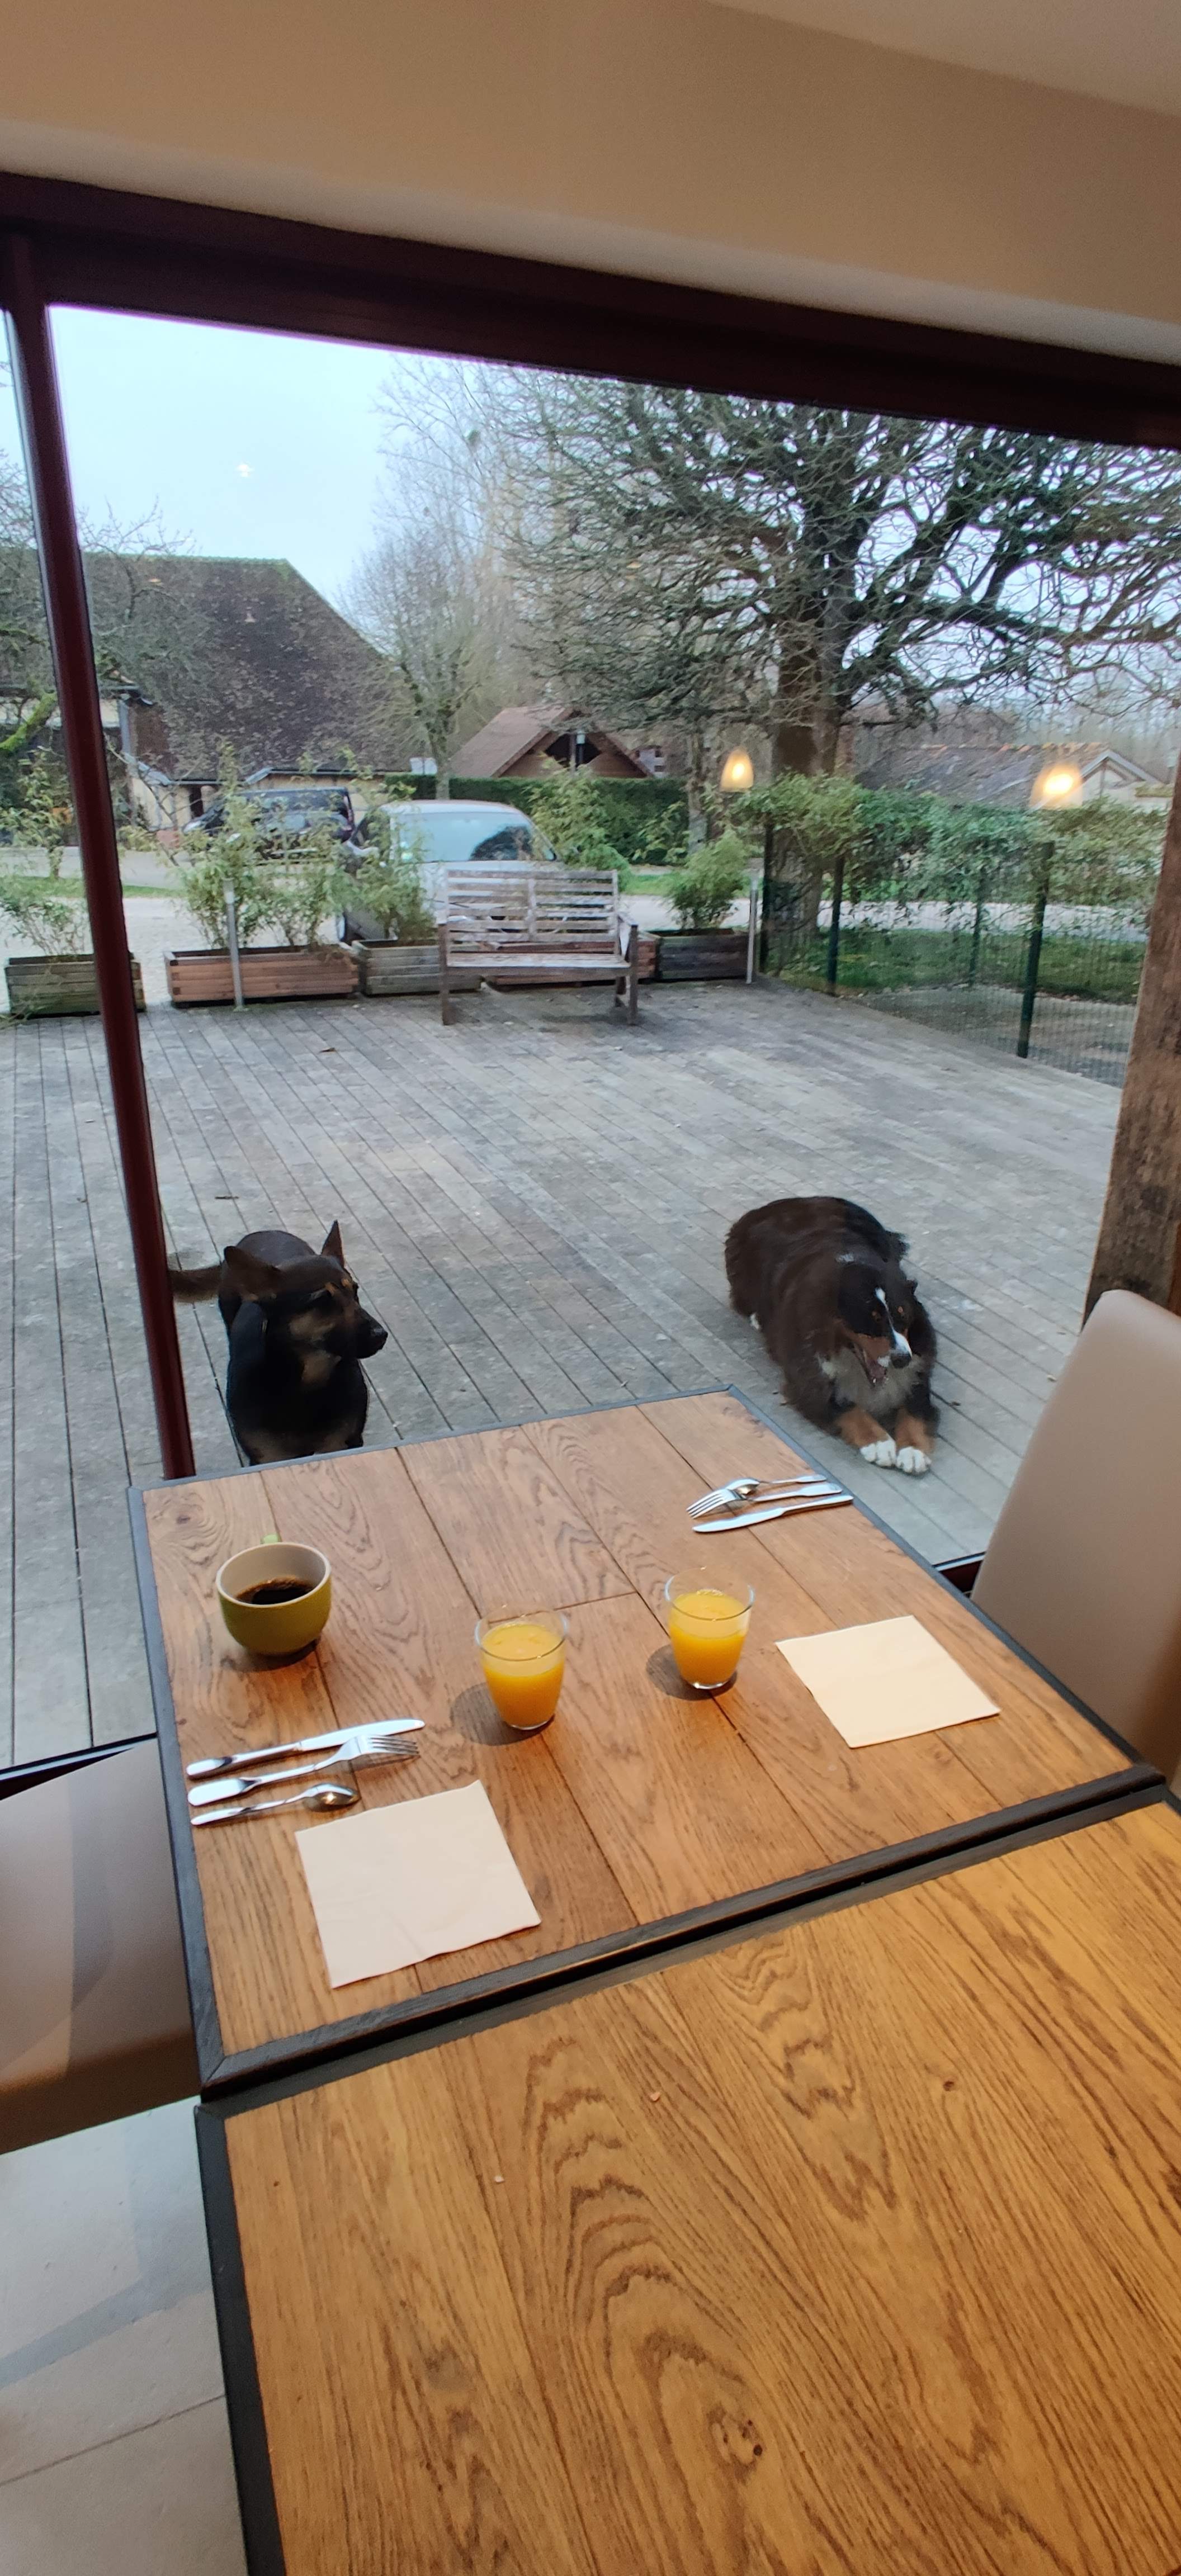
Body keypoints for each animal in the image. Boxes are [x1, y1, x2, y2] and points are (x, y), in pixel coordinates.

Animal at [169, 1222, 388, 1464]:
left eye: (355, 1292)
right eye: (322, 1300)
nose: (381, 1335)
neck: (306, 1386)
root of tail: (264, 1232)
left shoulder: (340, 1444)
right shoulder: (270, 1456)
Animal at [725, 1196, 938, 1474]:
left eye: (902, 1315)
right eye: (872, 1319)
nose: (902, 1359)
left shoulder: (917, 1377)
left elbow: (914, 1412)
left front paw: (913, 1451)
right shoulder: (808, 1380)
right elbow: (849, 1410)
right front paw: (880, 1444)